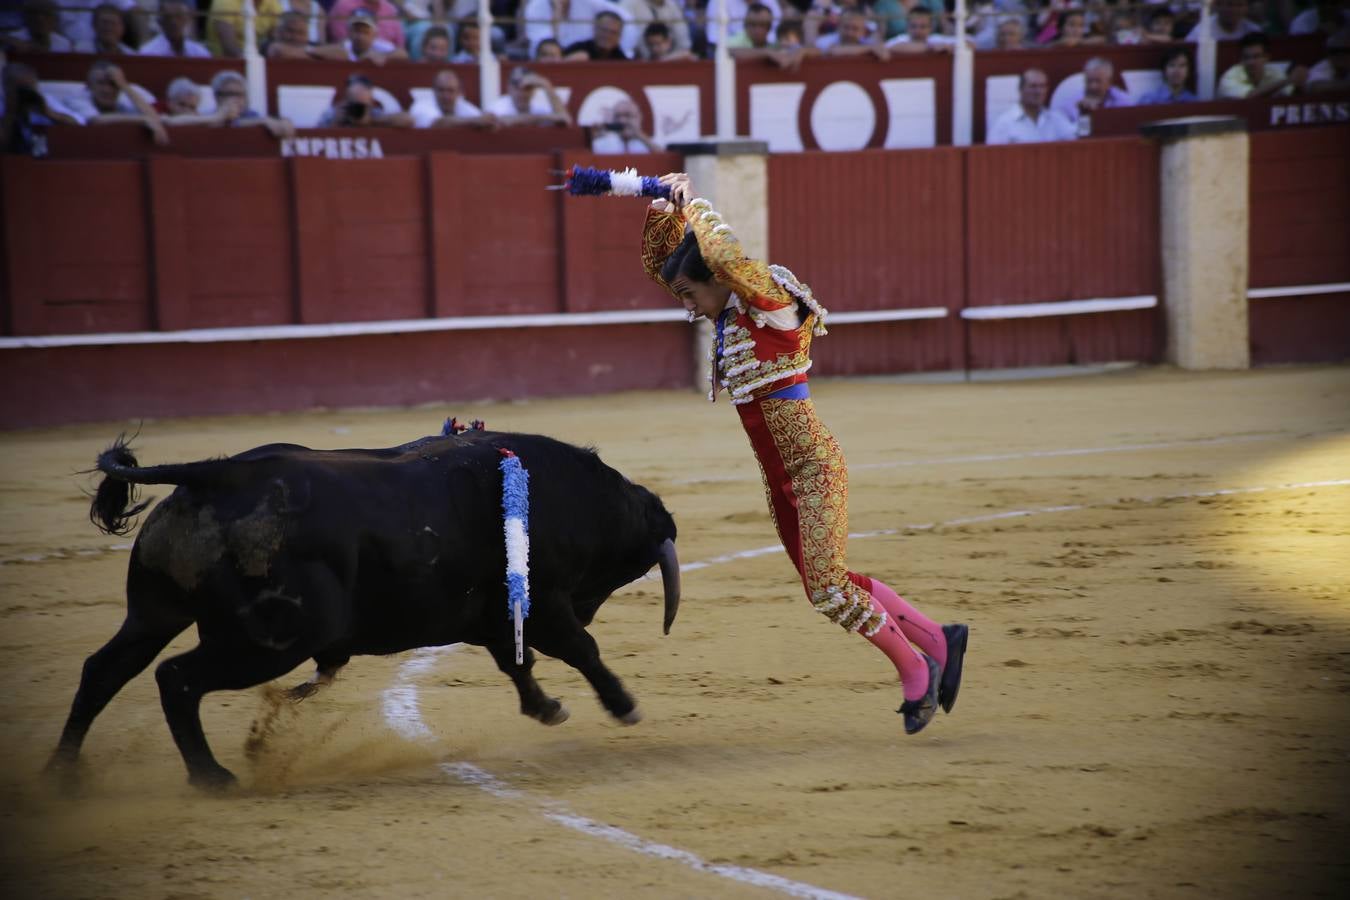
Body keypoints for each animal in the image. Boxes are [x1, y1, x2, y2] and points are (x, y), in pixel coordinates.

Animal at [47, 429, 680, 788]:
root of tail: (218, 474)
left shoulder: (501, 615)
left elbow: (516, 663)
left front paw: (547, 708)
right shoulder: (543, 602)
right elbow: (578, 648)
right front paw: (623, 705)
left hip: (154, 613)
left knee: (103, 670)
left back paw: (63, 774)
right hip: (273, 639)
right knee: (175, 678)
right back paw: (212, 777)